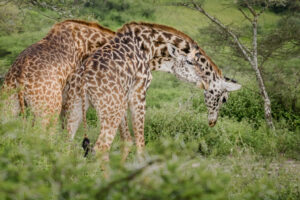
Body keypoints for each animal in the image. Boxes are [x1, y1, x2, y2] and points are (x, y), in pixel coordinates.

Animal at [63, 21, 241, 161]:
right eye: (224, 98)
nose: (212, 122)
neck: (151, 50)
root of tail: (84, 82)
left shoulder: (125, 97)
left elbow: (127, 140)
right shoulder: (139, 92)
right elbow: (139, 143)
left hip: (76, 106)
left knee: (66, 141)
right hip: (109, 109)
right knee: (100, 147)